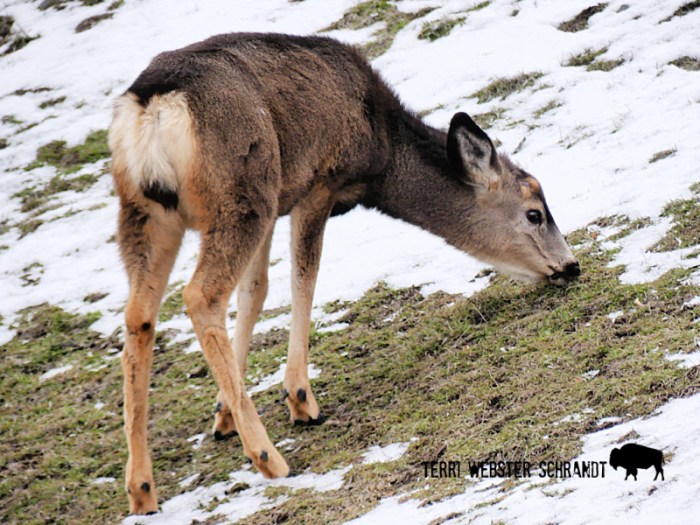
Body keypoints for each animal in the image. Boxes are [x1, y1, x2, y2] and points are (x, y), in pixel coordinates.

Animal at [108, 32, 580, 514]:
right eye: (535, 213)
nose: (571, 265)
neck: (381, 153)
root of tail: (150, 105)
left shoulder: (280, 201)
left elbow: (256, 291)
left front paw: (223, 414)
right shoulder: (318, 183)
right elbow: (304, 276)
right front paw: (299, 398)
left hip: (149, 210)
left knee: (140, 314)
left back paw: (142, 488)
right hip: (242, 191)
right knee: (200, 295)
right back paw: (268, 457)